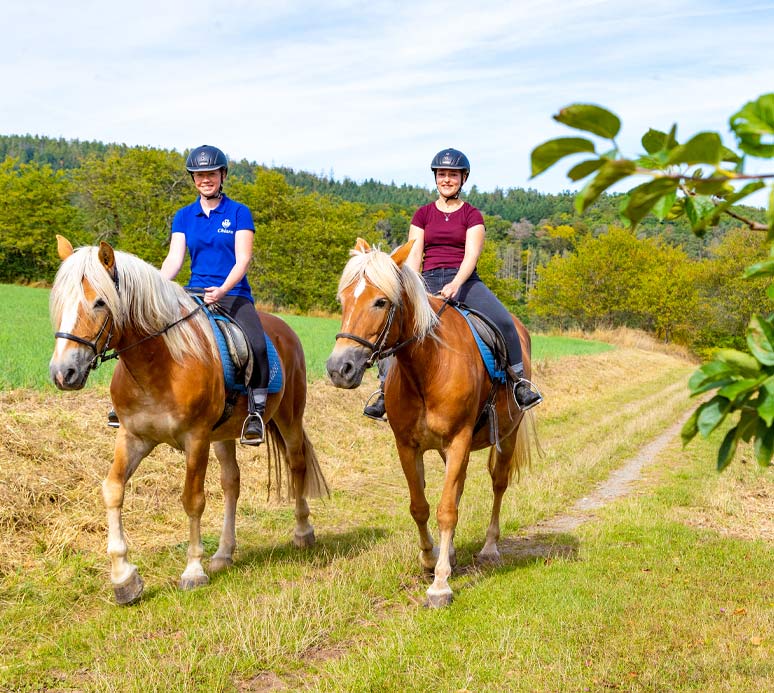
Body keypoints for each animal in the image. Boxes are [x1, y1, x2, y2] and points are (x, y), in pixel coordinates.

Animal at [48, 235, 328, 604]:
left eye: (99, 303)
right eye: (59, 301)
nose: (62, 373)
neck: (159, 363)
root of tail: (285, 329)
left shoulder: (195, 440)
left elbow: (192, 500)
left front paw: (193, 571)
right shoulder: (133, 436)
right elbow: (113, 489)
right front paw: (124, 578)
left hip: (289, 418)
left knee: (296, 465)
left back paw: (302, 532)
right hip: (223, 435)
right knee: (231, 483)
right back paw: (224, 554)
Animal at [326, 239, 532, 604]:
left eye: (381, 301)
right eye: (344, 299)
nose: (340, 369)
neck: (427, 366)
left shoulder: (459, 439)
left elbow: (447, 509)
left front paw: (440, 585)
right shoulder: (408, 446)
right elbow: (420, 506)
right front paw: (429, 558)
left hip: (507, 435)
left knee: (498, 484)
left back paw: (490, 548)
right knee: (459, 488)